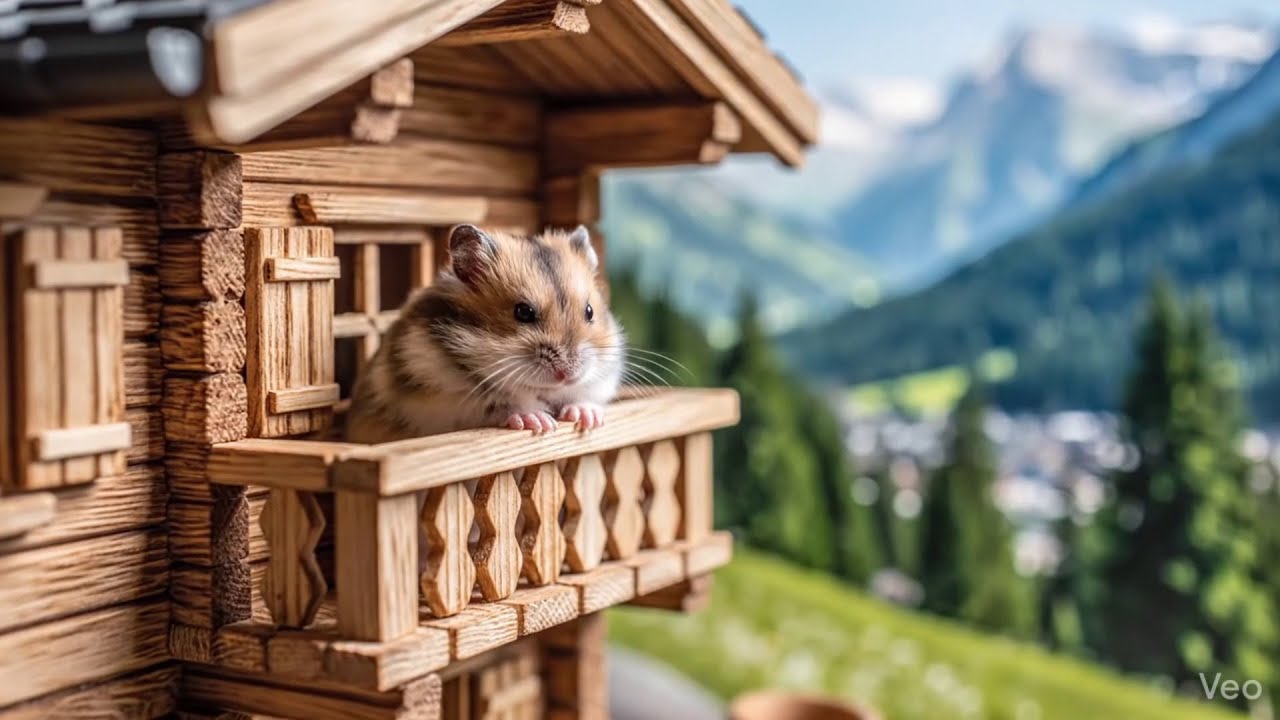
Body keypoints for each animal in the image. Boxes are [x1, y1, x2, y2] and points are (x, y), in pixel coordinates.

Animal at [345, 224, 625, 444]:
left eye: (589, 311)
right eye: (523, 312)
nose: (567, 374)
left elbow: (584, 396)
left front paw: (586, 418)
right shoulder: (443, 402)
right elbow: (499, 404)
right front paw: (538, 421)